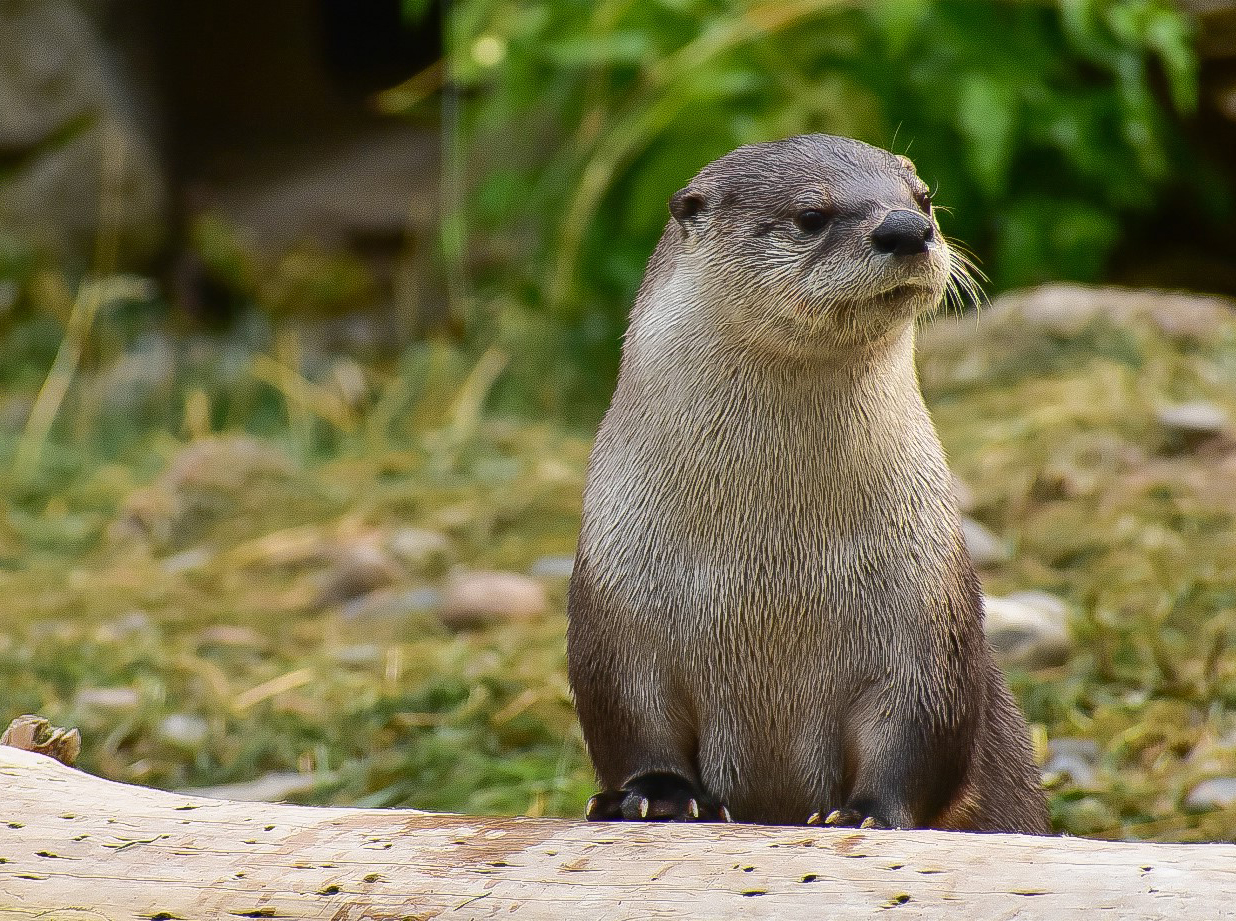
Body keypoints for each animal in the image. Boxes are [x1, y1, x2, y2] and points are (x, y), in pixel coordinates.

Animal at [566, 134, 1049, 833]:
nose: (909, 229)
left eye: (923, 197)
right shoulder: (617, 601)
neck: (771, 570)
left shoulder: (927, 612)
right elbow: (631, 719)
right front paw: (656, 796)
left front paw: (866, 813)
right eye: (812, 216)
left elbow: (917, 727)